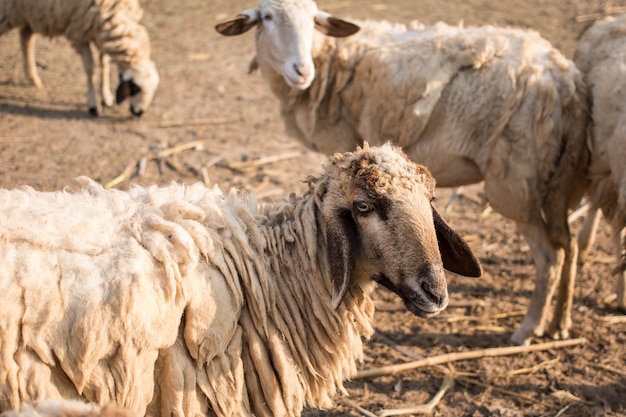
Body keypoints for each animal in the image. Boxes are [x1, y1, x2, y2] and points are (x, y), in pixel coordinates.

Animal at [0, 0, 160, 115]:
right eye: (135, 88)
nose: (139, 112)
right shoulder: (79, 35)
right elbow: (91, 69)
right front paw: (93, 104)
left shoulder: (101, 33)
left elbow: (104, 65)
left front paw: (107, 97)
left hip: (30, 13)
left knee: (25, 37)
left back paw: (34, 79)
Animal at [216, 0, 588, 344]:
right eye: (267, 17)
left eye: (313, 20)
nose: (301, 71)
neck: (331, 59)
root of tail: (566, 79)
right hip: (555, 181)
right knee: (568, 244)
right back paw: (560, 324)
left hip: (516, 183)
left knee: (549, 256)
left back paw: (528, 328)